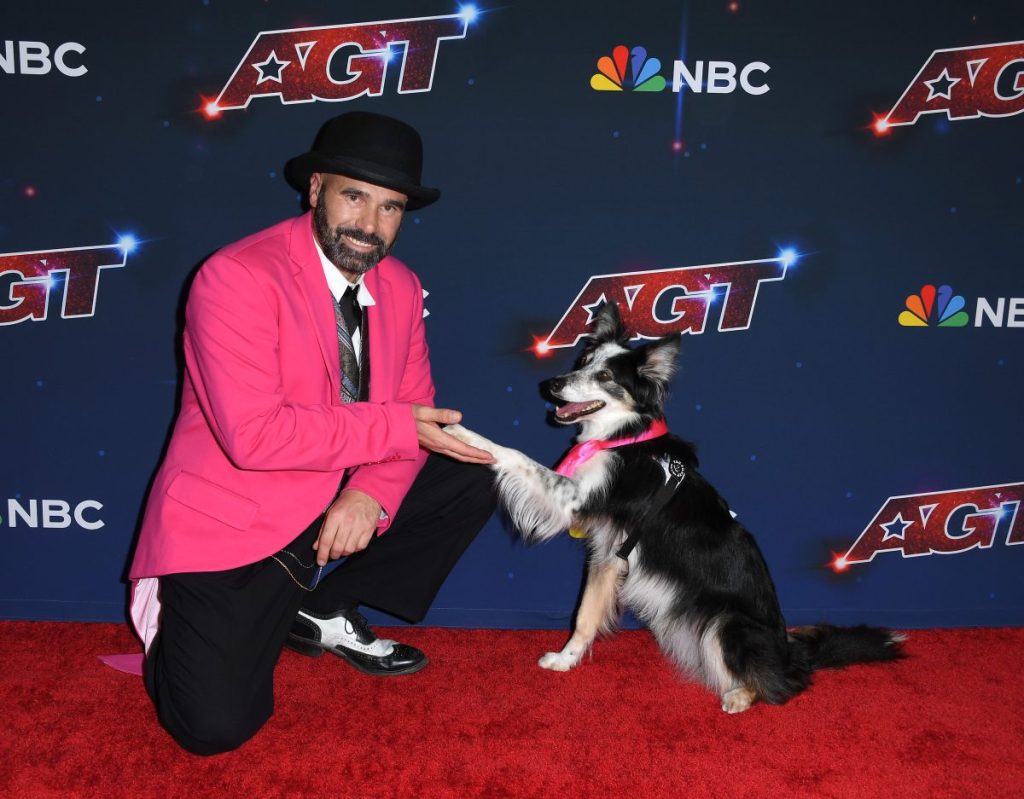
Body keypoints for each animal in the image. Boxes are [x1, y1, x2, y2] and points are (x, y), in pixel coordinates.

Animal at [448, 305, 905, 712]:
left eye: (605, 376)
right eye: (582, 362)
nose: (554, 383)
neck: (623, 437)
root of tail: (790, 653)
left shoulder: (573, 500)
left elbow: (513, 454)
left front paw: (461, 433)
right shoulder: (608, 553)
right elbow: (584, 616)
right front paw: (565, 660)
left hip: (726, 623)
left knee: (782, 685)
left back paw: (740, 695)